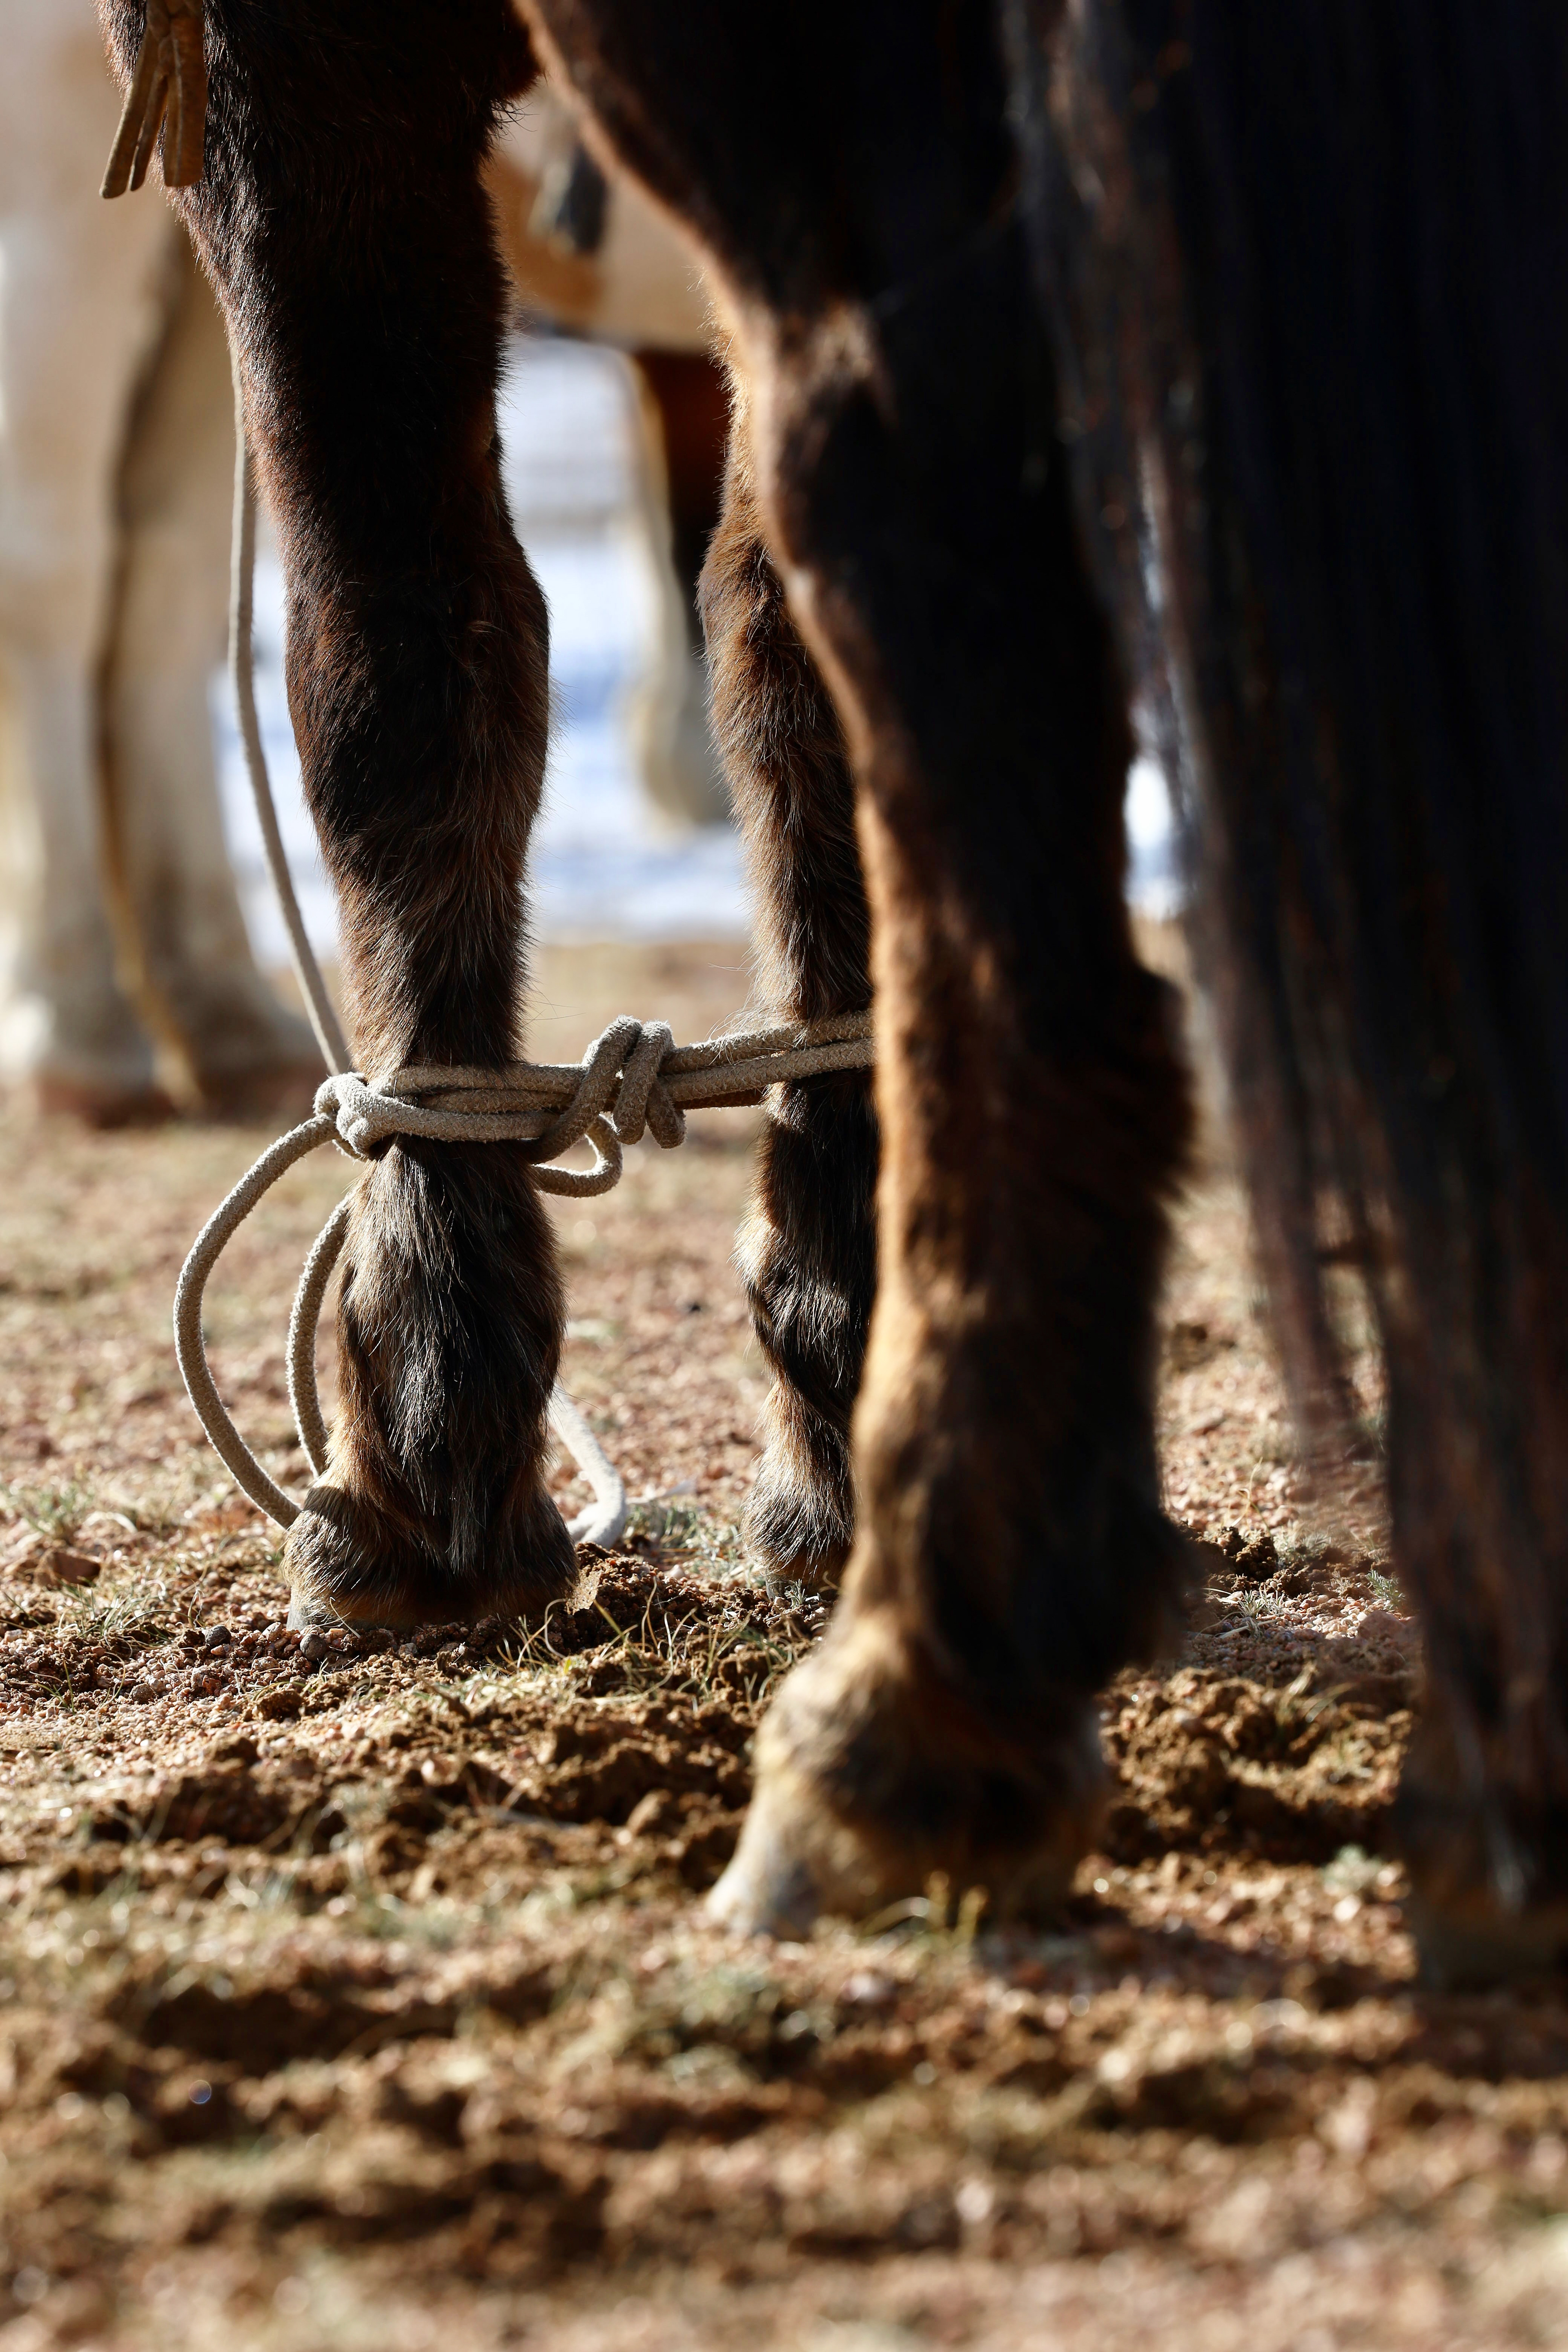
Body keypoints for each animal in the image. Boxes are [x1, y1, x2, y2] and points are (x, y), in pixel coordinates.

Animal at [97, 0, 1568, 1988]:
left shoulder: (301, 71)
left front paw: (427, 1431)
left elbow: (393, 631)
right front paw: (826, 1365)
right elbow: (771, 670)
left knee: (916, 505)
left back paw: (931, 1696)